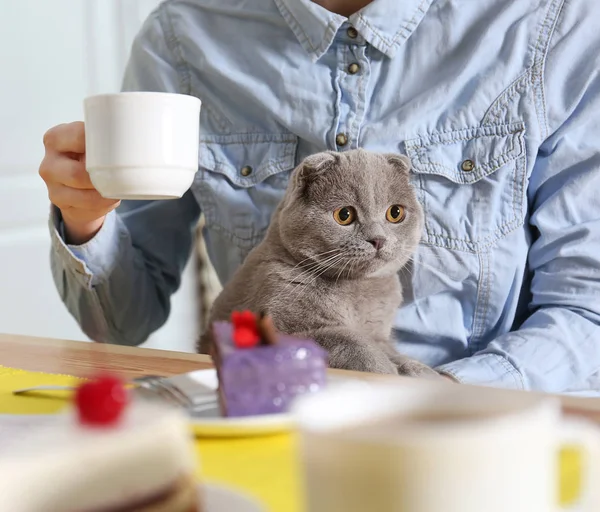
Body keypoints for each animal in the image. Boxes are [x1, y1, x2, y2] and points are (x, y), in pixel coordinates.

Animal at [199, 148, 438, 376]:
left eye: (395, 213)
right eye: (344, 215)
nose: (378, 239)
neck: (356, 290)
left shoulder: (381, 336)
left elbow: (393, 352)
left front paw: (422, 371)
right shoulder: (280, 329)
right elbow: (348, 339)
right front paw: (383, 369)